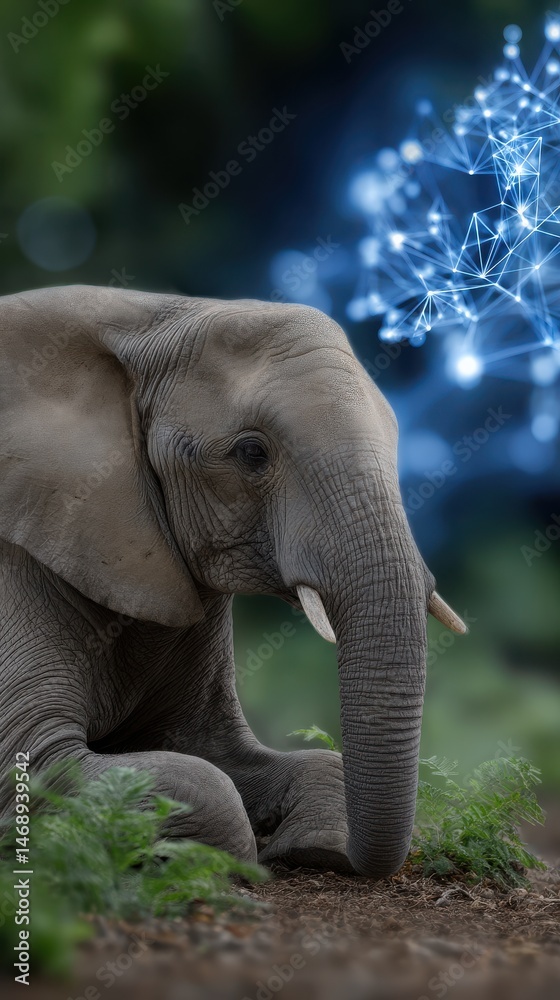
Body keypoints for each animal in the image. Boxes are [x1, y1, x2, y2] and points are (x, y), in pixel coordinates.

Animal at [0, 284, 466, 878]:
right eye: (251, 453)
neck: (142, 316)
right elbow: (39, 759)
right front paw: (216, 860)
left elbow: (217, 748)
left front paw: (312, 846)